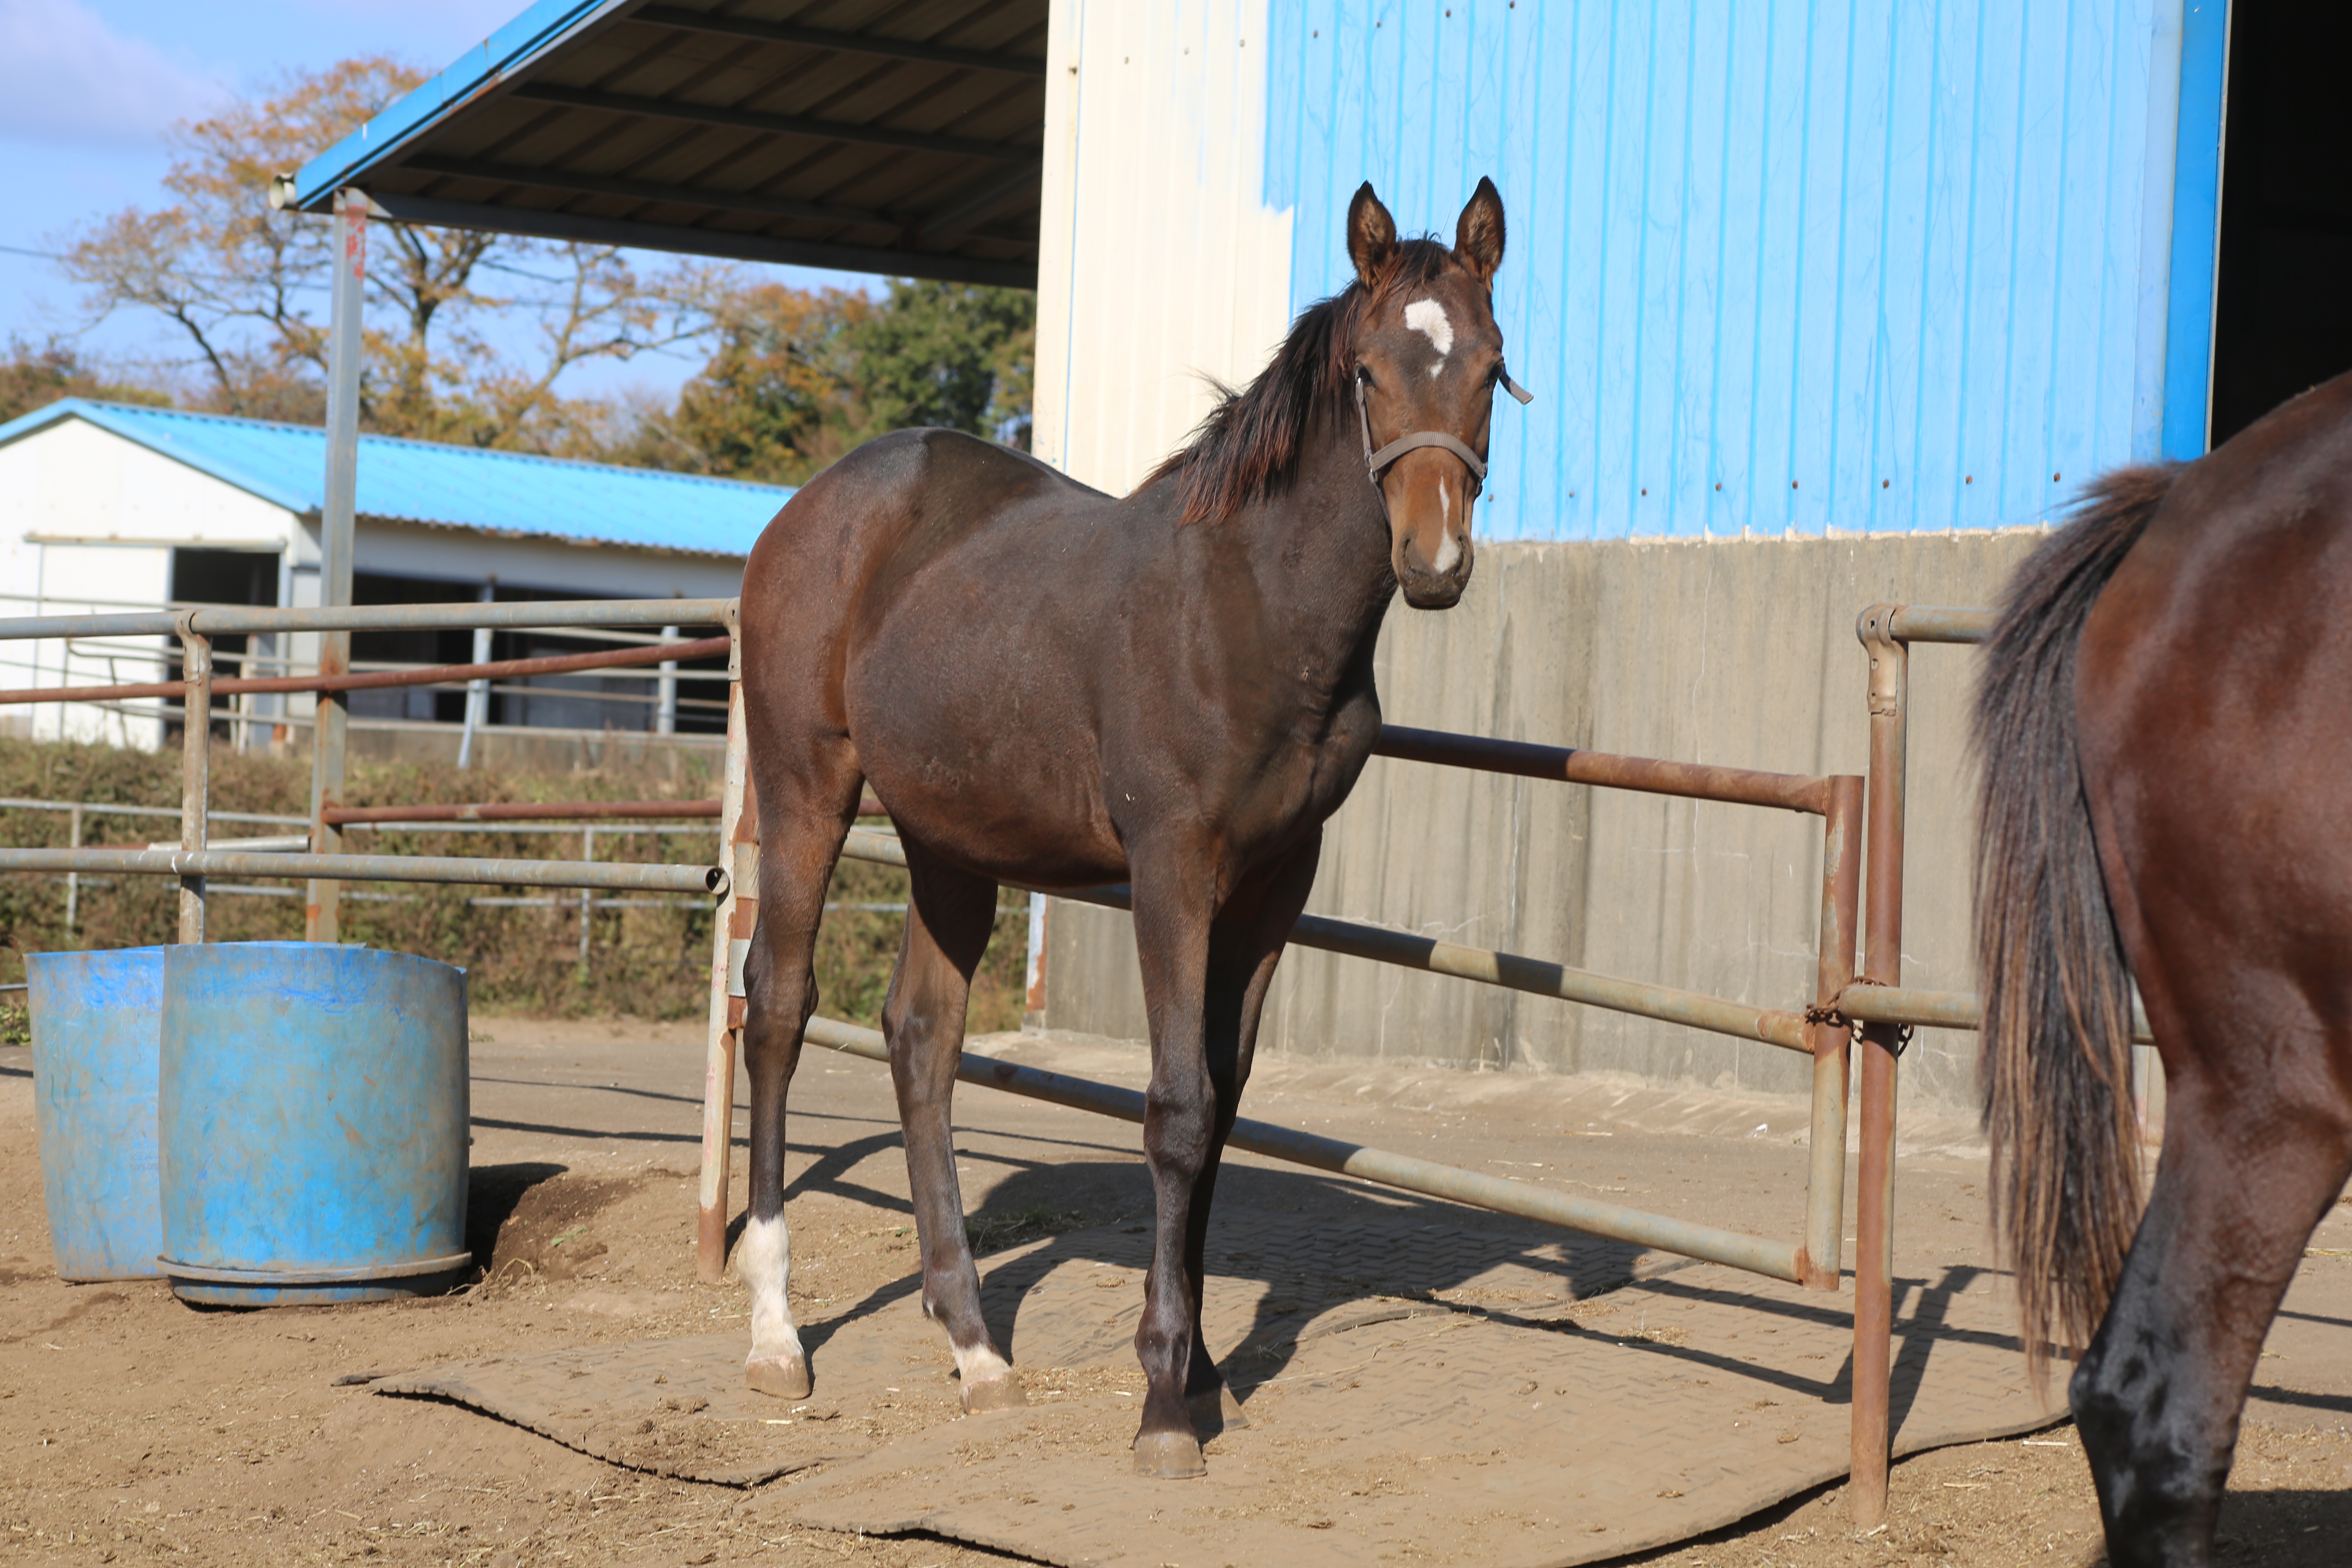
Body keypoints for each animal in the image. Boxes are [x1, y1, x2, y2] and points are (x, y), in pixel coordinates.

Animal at [724, 177, 1515, 1476]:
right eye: (1366, 371)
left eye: (1492, 367)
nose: (1434, 559)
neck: (1251, 605)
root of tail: (816, 507)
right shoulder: (1171, 868)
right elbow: (1177, 1109)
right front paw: (1160, 1409)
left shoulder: (1275, 882)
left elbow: (1224, 1105)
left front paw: (1197, 1371)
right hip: (806, 790)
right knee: (779, 1010)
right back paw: (775, 1338)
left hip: (950, 841)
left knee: (920, 1037)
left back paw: (976, 1350)